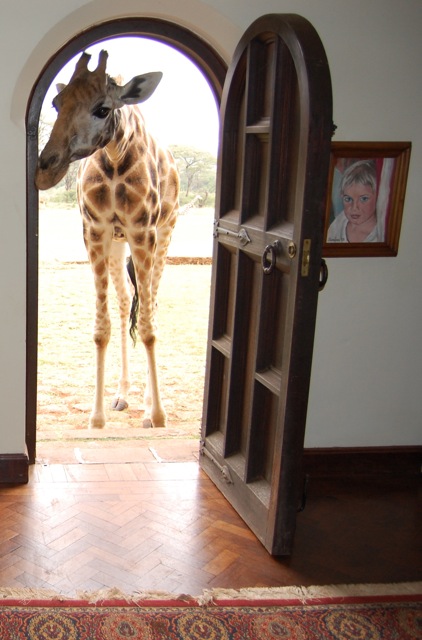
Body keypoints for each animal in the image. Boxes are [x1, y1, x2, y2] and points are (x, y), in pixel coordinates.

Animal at [35, 50, 180, 429]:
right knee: (126, 301)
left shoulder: (144, 230)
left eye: (102, 109)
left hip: (165, 233)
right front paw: (97, 416)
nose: (45, 168)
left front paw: (157, 414)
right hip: (118, 242)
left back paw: (146, 402)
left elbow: (147, 326)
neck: (115, 156)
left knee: (150, 302)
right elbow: (102, 328)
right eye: (56, 103)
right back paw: (122, 395)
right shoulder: (95, 230)